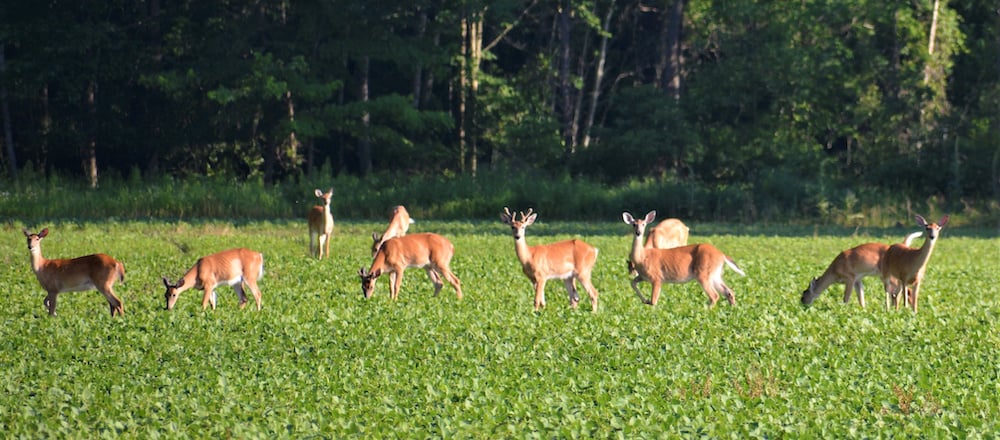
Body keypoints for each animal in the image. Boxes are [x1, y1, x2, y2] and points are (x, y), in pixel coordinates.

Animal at [620, 211, 748, 308]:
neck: (642, 257)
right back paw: (733, 309)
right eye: (633, 224)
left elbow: (654, 301)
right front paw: (644, 300)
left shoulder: (656, 277)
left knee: (714, 296)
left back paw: (705, 311)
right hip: (715, 274)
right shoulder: (643, 276)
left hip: (703, 272)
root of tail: (721, 254)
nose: (638, 232)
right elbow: (632, 283)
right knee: (728, 291)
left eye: (643, 224)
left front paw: (650, 305)